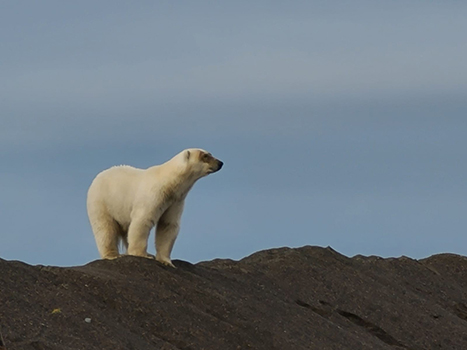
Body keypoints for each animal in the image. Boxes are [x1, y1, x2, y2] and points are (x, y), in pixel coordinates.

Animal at [87, 149, 224, 266]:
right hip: (102, 202)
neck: (169, 183)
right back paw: (113, 255)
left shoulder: (175, 201)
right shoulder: (154, 195)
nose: (220, 163)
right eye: (205, 156)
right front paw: (143, 254)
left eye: (209, 153)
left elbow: (168, 225)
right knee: (105, 228)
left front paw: (165, 261)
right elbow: (142, 221)